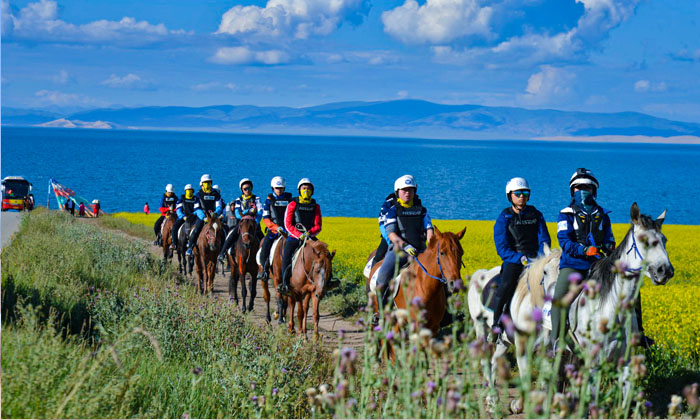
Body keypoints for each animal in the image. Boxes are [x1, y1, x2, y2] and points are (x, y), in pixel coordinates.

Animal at [470, 203, 672, 410]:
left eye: (663, 239)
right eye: (643, 240)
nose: (665, 271)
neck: (611, 309)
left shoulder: (624, 361)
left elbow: (624, 398)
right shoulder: (589, 361)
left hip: (507, 340)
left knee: (496, 361)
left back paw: (494, 400)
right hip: (486, 331)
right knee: (488, 361)